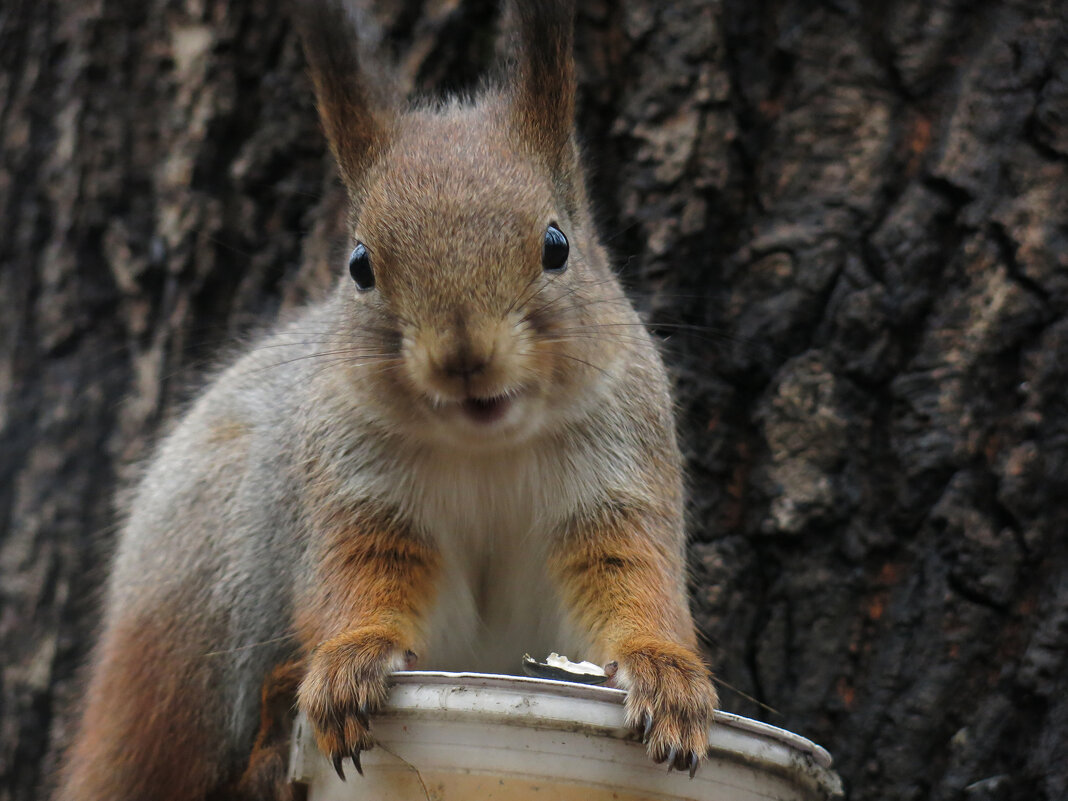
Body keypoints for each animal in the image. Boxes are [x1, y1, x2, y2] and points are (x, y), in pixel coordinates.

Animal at [52, 3, 717, 798]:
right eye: (360, 264)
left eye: (557, 244)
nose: (463, 358)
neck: (483, 446)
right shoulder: (355, 489)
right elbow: (361, 578)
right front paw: (349, 666)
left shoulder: (618, 468)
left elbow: (631, 577)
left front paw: (665, 678)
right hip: (208, 607)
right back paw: (275, 726)